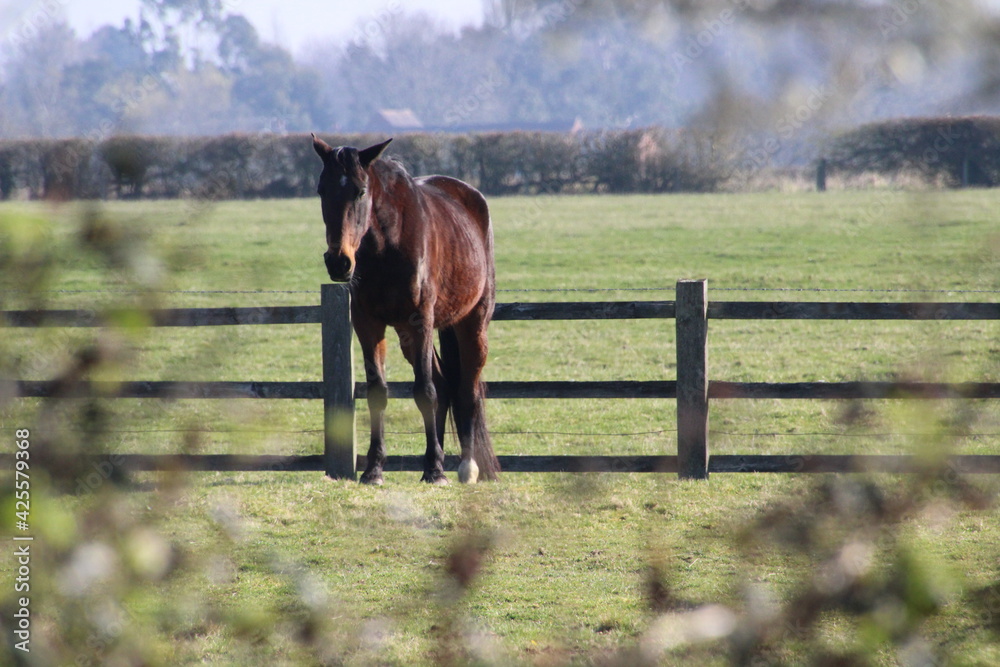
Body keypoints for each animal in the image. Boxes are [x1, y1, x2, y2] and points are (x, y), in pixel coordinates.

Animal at [311, 134, 500, 485]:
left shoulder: (420, 320)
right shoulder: (368, 323)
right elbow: (378, 392)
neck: (387, 243)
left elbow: (425, 391)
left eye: (360, 191)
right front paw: (374, 468)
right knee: (444, 383)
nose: (339, 262)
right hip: (407, 334)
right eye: (321, 190)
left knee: (466, 389)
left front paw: (436, 471)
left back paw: (466, 466)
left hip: (473, 323)